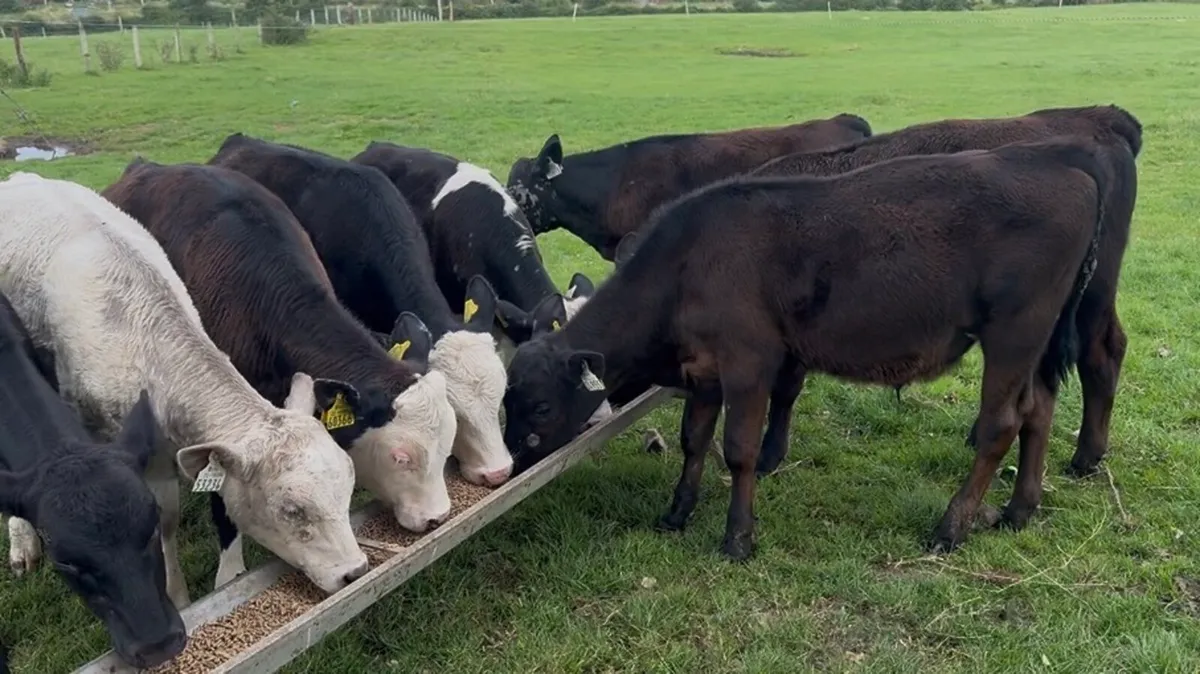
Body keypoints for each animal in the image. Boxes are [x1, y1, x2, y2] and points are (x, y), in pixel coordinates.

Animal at [502, 135, 1129, 561]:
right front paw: (678, 511)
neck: (687, 261)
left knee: (1002, 423)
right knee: (1039, 411)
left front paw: (738, 537)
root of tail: (1059, 158)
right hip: (1040, 340)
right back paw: (1020, 509)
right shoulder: (704, 370)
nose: (510, 466)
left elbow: (739, 450)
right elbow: (693, 440)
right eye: (506, 400)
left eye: (540, 405)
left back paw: (951, 526)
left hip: (1015, 332)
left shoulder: (749, 363)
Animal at [750, 104, 1141, 477]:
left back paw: (1085, 457)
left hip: (1090, 295)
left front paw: (769, 455)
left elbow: (783, 392)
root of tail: (1102, 117)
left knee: (1101, 354)